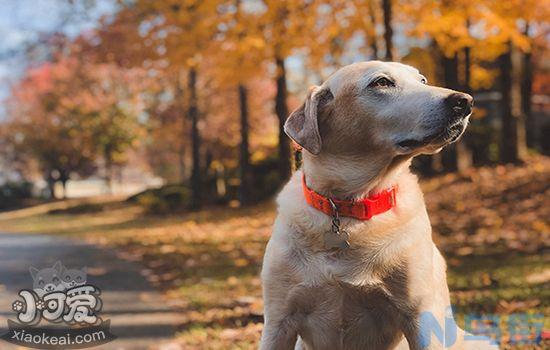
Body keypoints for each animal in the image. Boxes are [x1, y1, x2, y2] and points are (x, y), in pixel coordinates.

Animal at [260, 62, 498, 350]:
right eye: (382, 82)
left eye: (422, 80)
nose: (465, 101)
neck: (351, 206)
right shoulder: (278, 320)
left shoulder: (419, 315)